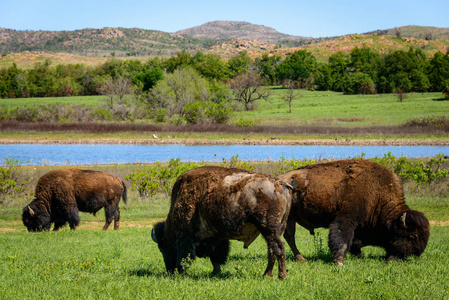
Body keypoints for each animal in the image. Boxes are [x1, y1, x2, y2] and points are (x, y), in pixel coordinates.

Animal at [152, 166, 292, 278]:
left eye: (163, 246)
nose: (169, 270)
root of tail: (278, 184)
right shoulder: (216, 238)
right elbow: (215, 257)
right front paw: (215, 272)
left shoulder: (186, 237)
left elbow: (185, 256)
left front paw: (182, 272)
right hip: (274, 229)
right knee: (272, 250)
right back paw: (267, 274)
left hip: (268, 227)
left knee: (279, 247)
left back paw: (281, 276)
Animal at [276, 159, 430, 264]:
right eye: (412, 236)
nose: (414, 256)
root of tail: (278, 179)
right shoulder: (346, 220)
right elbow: (342, 240)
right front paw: (339, 262)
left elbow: (355, 242)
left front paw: (357, 256)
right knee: (288, 237)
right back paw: (301, 258)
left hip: (290, 219)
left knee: (289, 237)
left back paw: (301, 259)